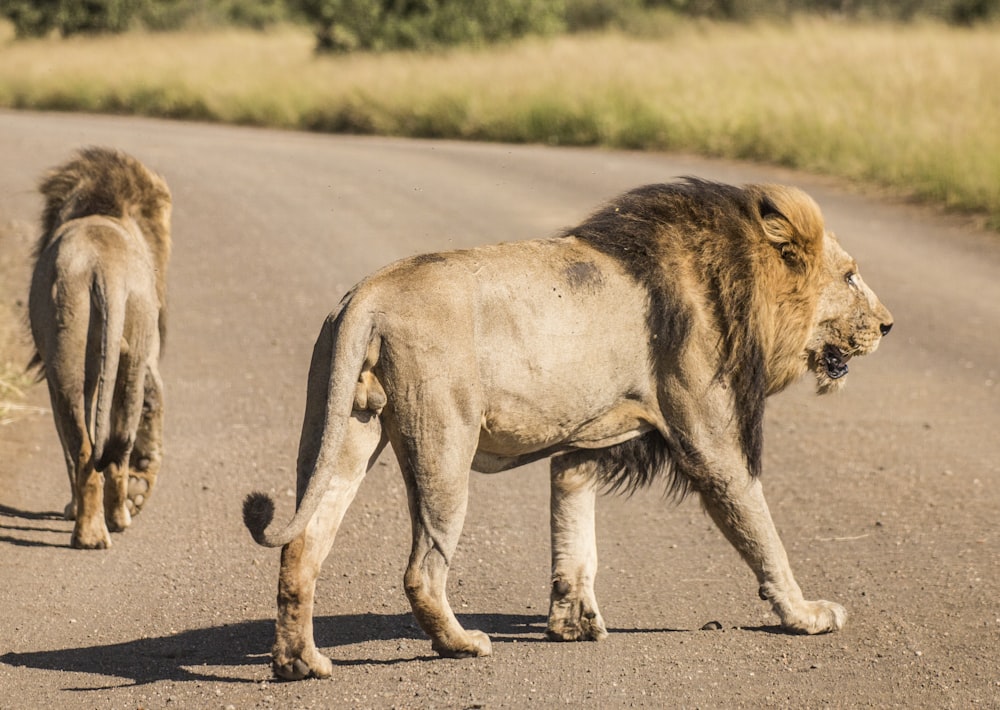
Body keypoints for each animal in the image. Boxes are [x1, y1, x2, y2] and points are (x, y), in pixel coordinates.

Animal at [28, 147, 174, 552]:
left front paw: (70, 508)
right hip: (129, 348)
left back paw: (91, 530)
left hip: (68, 362)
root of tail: (102, 268)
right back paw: (115, 520)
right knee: (114, 444)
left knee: (83, 448)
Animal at [244, 177, 892, 680]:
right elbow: (763, 533)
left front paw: (572, 620)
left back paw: (299, 663)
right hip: (443, 446)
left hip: (340, 431)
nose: (888, 324)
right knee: (422, 571)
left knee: (302, 546)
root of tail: (368, 295)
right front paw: (806, 614)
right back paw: (460, 645)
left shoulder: (585, 444)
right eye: (850, 277)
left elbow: (573, 533)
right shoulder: (711, 442)